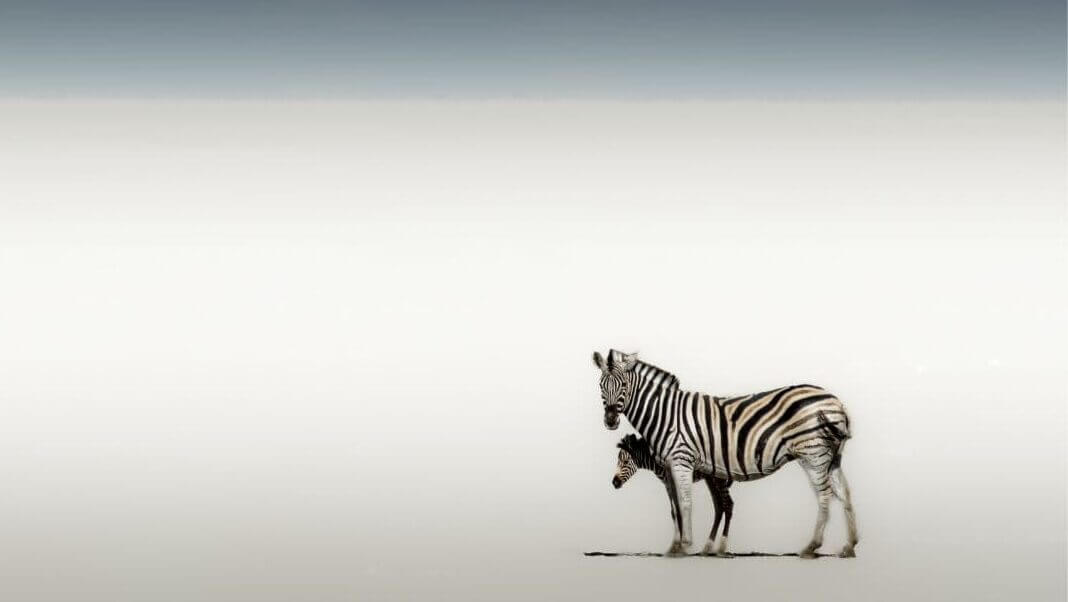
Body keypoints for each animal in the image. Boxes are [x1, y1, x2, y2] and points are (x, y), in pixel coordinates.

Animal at [592, 349, 857, 558]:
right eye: (601, 386)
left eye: (624, 386)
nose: (610, 420)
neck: (664, 414)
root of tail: (837, 402)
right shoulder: (670, 469)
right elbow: (675, 507)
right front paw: (675, 547)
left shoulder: (681, 460)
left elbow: (685, 503)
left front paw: (685, 545)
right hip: (832, 457)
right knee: (845, 493)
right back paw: (849, 546)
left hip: (812, 453)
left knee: (824, 496)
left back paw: (812, 547)